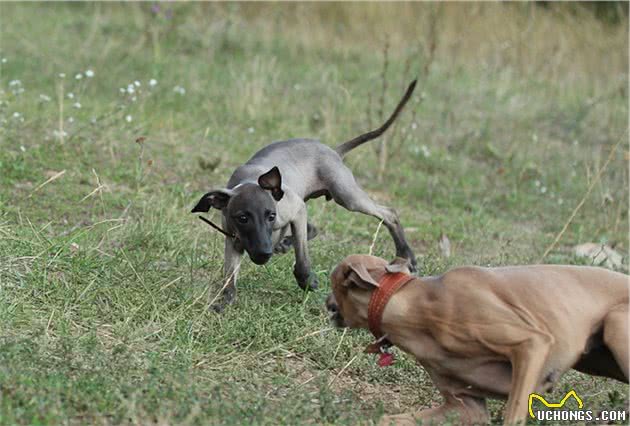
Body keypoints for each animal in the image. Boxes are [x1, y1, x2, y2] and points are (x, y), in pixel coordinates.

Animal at [193, 79, 420, 310]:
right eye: (242, 218)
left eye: (271, 216)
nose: (264, 253)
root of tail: (333, 151)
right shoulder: (233, 240)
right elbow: (229, 277)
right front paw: (224, 302)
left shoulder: (295, 211)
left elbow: (302, 258)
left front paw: (307, 281)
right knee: (313, 228)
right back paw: (284, 244)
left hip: (347, 197)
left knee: (389, 213)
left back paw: (407, 256)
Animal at [328, 255, 628, 424]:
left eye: (334, 280)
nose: (326, 301)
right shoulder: (464, 407)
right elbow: (388, 419)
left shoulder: (532, 344)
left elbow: (513, 414)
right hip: (601, 360)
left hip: (616, 326)